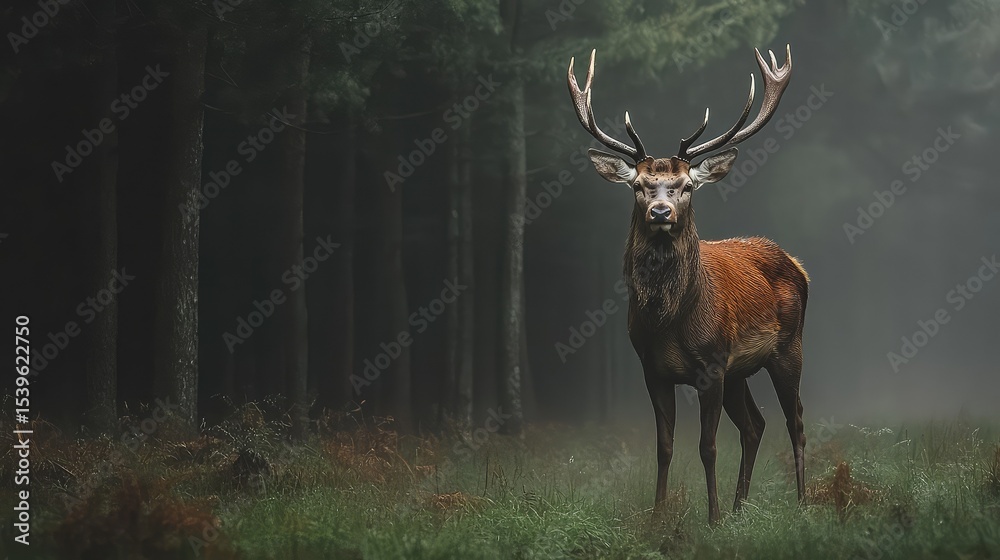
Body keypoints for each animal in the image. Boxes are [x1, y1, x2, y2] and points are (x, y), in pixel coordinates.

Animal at [567, 45, 808, 524]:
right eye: (640, 186)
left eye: (685, 187)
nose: (660, 212)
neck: (671, 322)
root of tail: (797, 264)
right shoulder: (652, 369)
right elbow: (664, 447)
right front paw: (659, 515)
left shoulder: (711, 364)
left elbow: (708, 447)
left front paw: (711, 519)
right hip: (740, 371)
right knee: (755, 425)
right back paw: (740, 508)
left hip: (789, 348)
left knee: (796, 422)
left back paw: (803, 502)